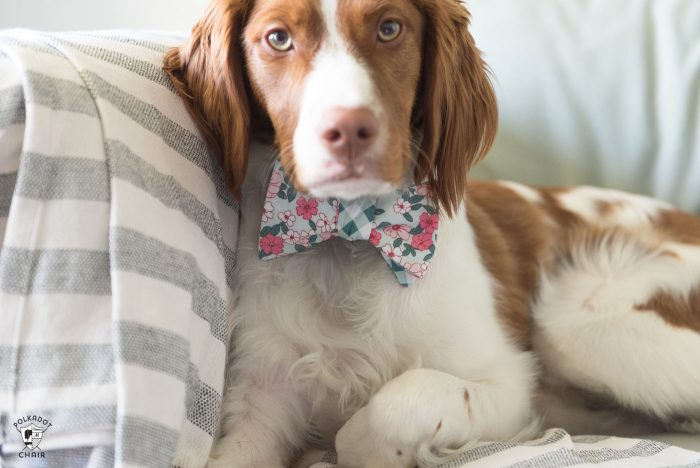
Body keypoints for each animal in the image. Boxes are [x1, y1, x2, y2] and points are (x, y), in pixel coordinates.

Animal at [163, 0, 700, 466]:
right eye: (278, 38)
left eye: (389, 29)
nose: (349, 129)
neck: (348, 240)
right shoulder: (262, 395)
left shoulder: (509, 384)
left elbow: (386, 410)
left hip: (578, 326)